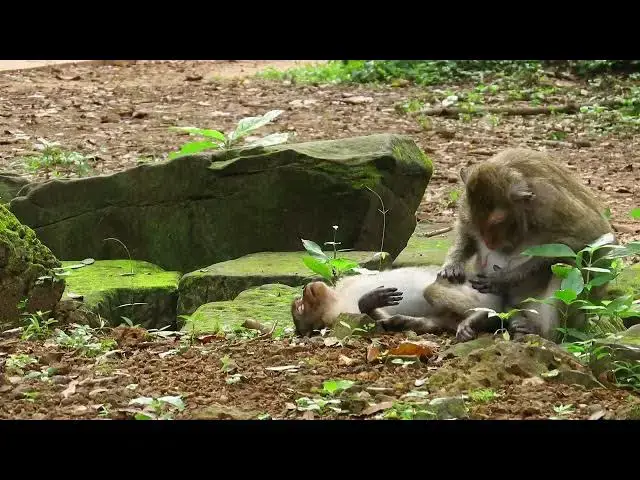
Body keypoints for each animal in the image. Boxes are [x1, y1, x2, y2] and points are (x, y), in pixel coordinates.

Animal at [438, 148, 615, 341]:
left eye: (497, 222)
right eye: (477, 223)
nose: (489, 242)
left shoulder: (549, 203)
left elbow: (589, 239)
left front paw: (503, 279)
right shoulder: (466, 206)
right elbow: (466, 230)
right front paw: (453, 265)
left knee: (567, 266)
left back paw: (542, 332)